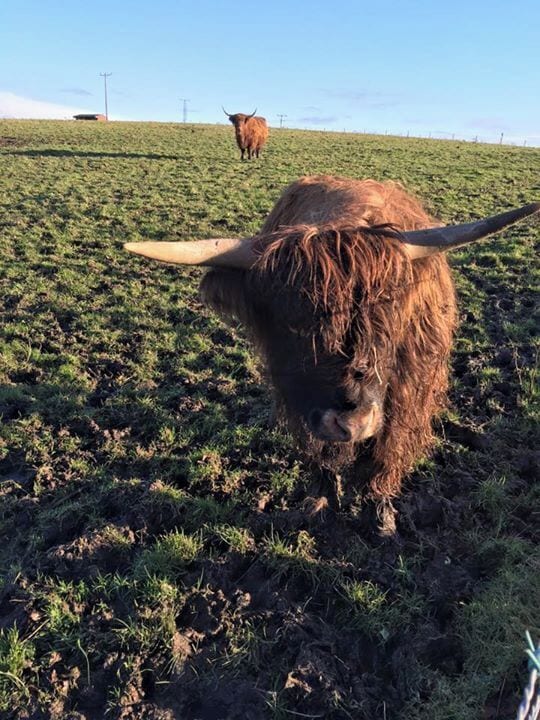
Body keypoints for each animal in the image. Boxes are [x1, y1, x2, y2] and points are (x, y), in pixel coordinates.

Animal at [125, 175, 539, 533]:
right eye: (291, 321)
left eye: (386, 314)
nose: (350, 423)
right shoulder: (298, 396)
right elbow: (320, 452)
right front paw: (322, 502)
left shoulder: (408, 392)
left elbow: (386, 450)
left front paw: (380, 513)